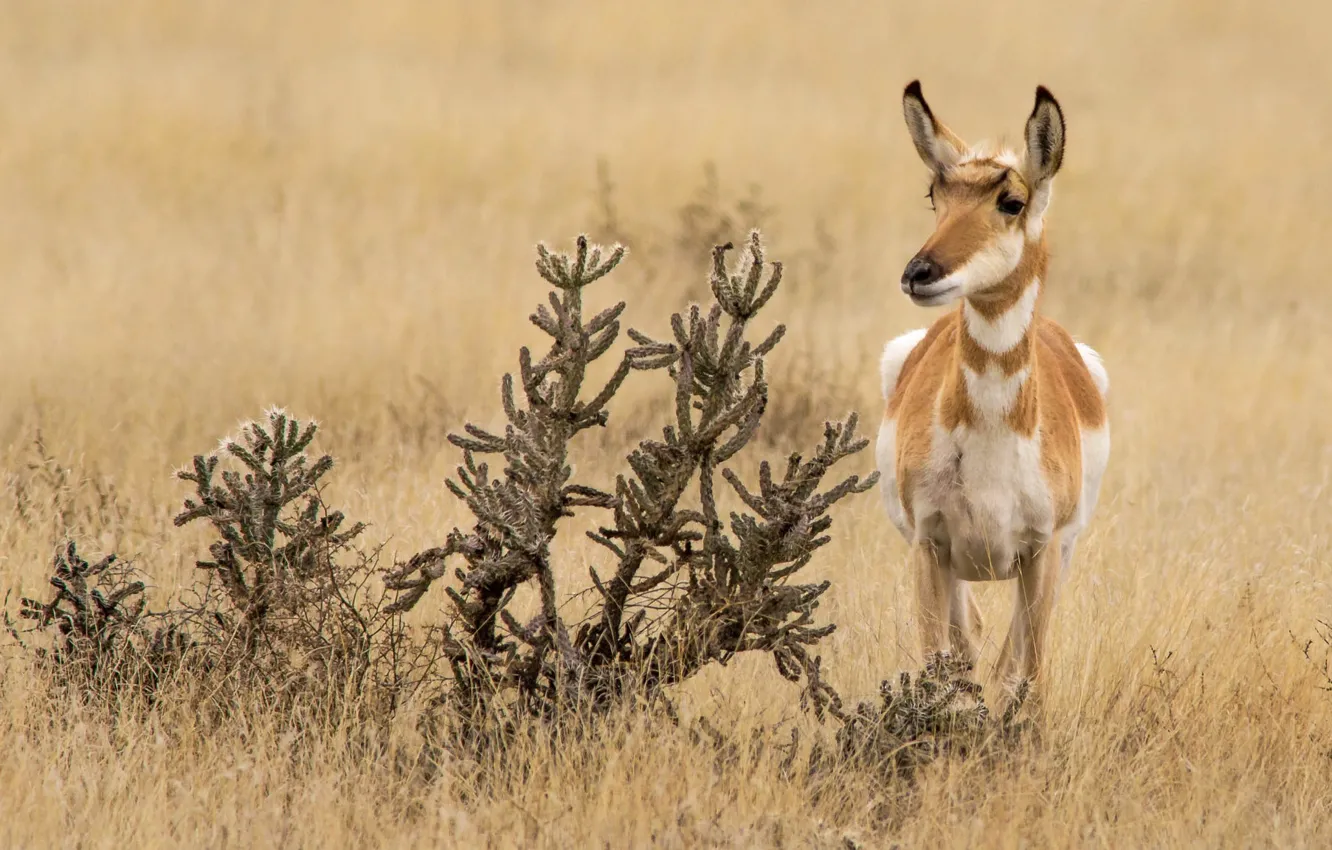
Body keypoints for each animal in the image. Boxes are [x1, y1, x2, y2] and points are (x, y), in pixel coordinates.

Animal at [876, 81, 1109, 696]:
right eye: (936, 194)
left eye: (1011, 201)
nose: (919, 272)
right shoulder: (930, 547)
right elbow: (939, 663)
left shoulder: (1042, 552)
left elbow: (1029, 677)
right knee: (970, 643)